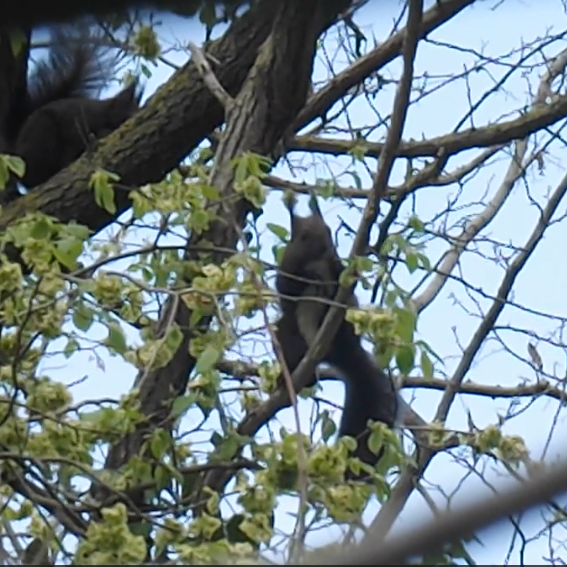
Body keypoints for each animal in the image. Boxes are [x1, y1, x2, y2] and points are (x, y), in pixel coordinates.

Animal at [4, 24, 143, 202]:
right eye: (128, 113)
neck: (105, 113)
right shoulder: (81, 121)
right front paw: (102, 134)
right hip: (42, 135)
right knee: (32, 175)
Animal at [274, 194, 400, 480]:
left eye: (330, 230)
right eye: (302, 236)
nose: (325, 249)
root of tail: (339, 353)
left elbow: (341, 283)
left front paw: (334, 267)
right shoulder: (287, 272)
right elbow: (287, 287)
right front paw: (310, 275)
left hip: (344, 330)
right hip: (289, 335)